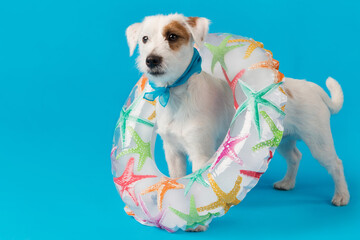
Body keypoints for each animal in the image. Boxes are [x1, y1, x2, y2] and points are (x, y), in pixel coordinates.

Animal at [126, 13, 348, 229]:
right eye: (144, 39)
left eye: (172, 36)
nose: (151, 60)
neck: (176, 96)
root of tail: (312, 88)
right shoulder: (173, 152)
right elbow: (176, 180)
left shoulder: (200, 153)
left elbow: (197, 186)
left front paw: (197, 223)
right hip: (283, 139)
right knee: (295, 156)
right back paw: (287, 182)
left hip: (318, 141)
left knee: (336, 164)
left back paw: (341, 195)